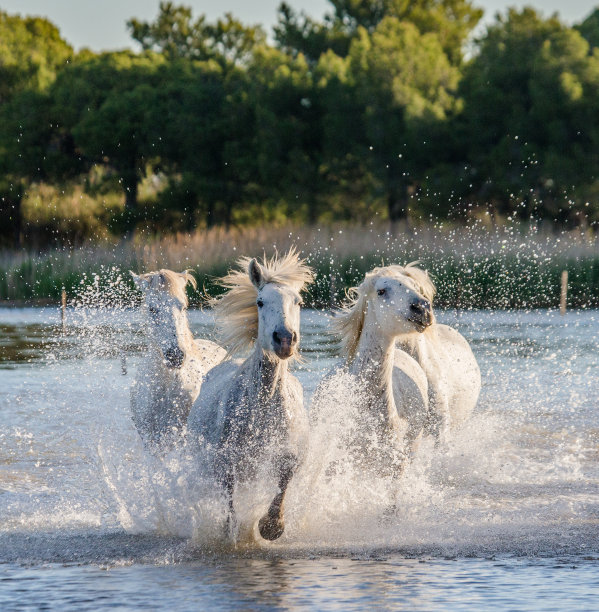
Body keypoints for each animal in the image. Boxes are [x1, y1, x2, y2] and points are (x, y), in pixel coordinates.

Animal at [189, 251, 314, 544]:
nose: (284, 339)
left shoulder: (290, 455)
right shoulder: (224, 463)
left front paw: (271, 526)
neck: (262, 409)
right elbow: (230, 508)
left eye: (299, 301)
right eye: (260, 301)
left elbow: (283, 482)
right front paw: (233, 534)